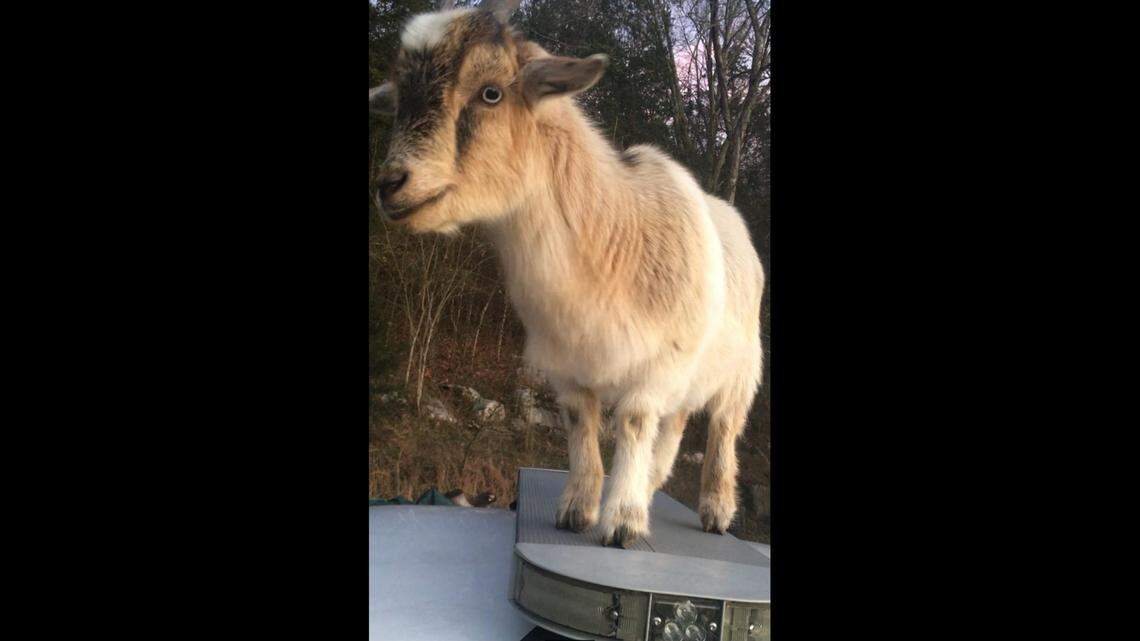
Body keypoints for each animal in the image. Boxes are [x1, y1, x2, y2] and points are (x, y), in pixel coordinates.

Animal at [369, 0, 764, 548]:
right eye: (400, 97)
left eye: (490, 92)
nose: (391, 185)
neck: (610, 237)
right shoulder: (567, 365)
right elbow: (581, 424)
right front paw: (577, 509)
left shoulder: (657, 363)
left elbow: (633, 423)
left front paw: (622, 522)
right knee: (677, 421)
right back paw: (653, 483)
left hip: (741, 371)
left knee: (724, 429)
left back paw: (716, 510)